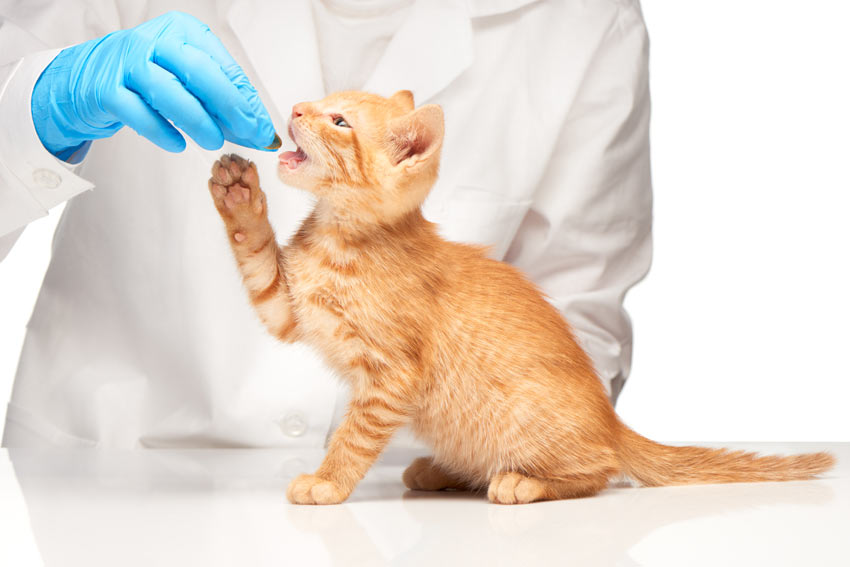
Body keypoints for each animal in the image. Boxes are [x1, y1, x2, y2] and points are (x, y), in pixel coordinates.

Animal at [207, 92, 836, 506]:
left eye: (338, 120)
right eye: (320, 99)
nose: (294, 110)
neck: (343, 236)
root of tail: (611, 422)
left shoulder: (392, 375)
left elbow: (356, 436)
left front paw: (328, 480)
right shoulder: (289, 310)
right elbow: (258, 261)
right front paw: (238, 192)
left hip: (531, 420)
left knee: (602, 470)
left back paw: (523, 481)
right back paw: (442, 471)